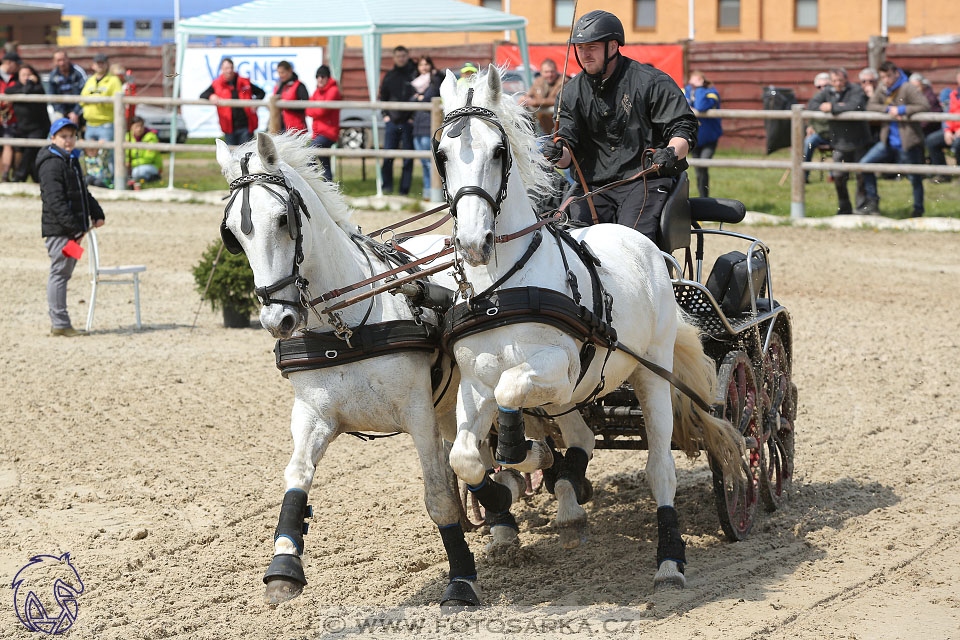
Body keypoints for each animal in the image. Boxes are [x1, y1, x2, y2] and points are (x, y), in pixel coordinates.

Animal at [221, 132, 484, 608]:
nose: (277, 319)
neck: (346, 325)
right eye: (232, 234)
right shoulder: (314, 414)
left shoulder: (418, 413)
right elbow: (297, 476)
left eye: (284, 219)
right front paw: (283, 566)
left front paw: (461, 579)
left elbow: (439, 495)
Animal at [436, 67, 752, 588]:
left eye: (498, 151)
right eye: (442, 155)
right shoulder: (475, 384)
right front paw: (507, 491)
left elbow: (511, 393)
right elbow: (464, 454)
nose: (474, 242)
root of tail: (647, 246)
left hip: (651, 373)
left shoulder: (557, 369)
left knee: (660, 469)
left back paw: (670, 560)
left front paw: (522, 451)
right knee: (581, 436)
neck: (502, 288)